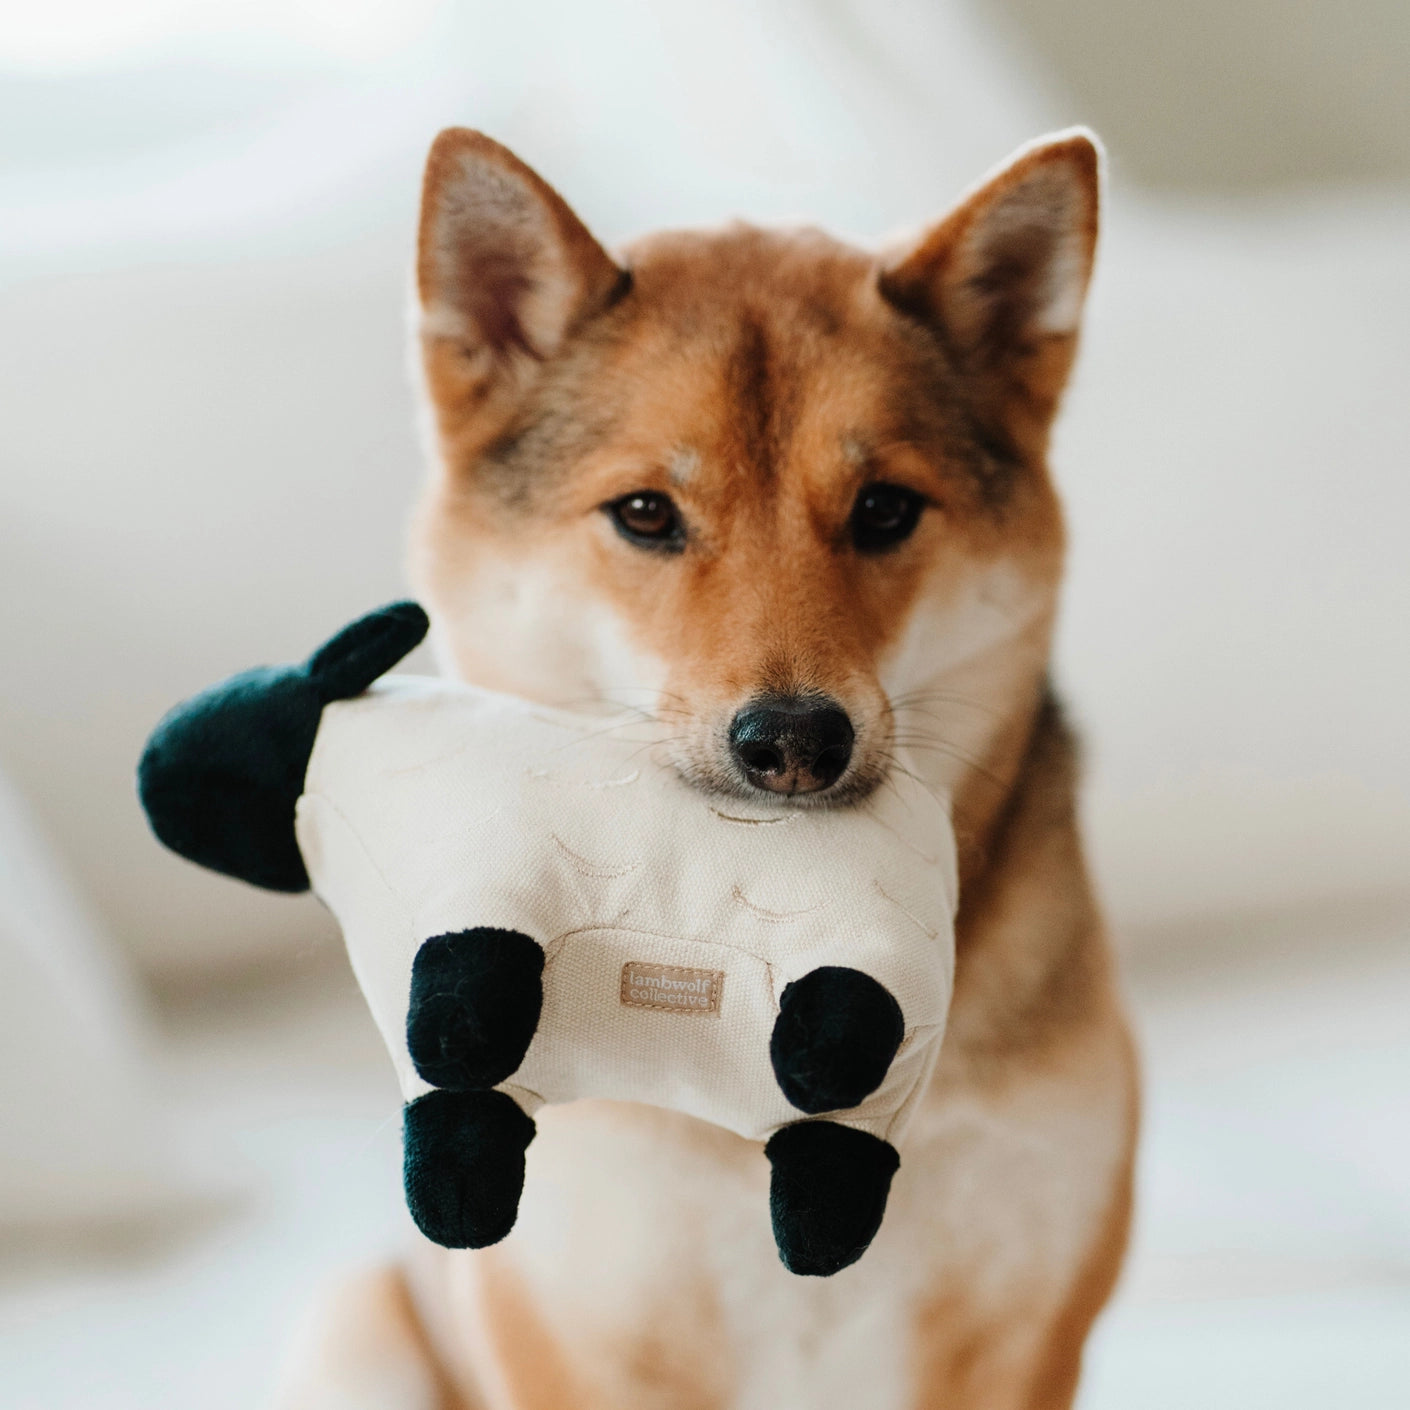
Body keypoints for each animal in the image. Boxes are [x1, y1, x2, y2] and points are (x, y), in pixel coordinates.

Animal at [272, 126, 1133, 1404]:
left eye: (885, 509)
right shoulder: (577, 1328)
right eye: (645, 514)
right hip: (359, 1333)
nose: (796, 740)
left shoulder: (1024, 1328)